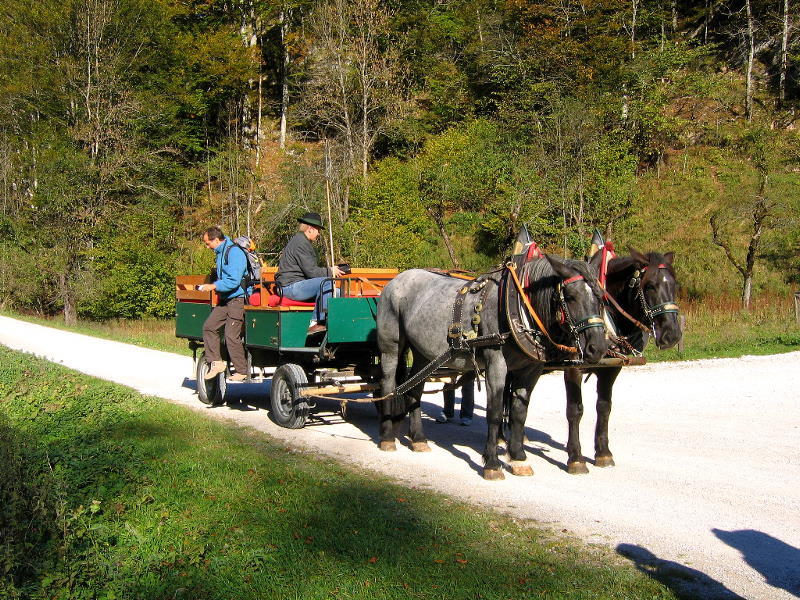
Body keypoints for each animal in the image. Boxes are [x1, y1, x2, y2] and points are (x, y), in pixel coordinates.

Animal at [376, 255, 608, 480]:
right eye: (570, 296)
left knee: (414, 389)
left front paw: (519, 458)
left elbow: (519, 413)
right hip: (391, 347)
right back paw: (387, 437)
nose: (597, 348)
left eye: (600, 297)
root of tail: (395, 280)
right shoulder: (496, 365)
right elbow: (495, 412)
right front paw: (492, 463)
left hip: (423, 354)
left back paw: (418, 439)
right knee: (388, 385)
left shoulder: (530, 370)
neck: (518, 308)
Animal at [564, 248, 680, 474]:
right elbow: (575, 410)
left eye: (674, 285)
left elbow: (604, 407)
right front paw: (576, 457)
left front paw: (603, 453)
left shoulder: (611, 370)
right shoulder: (572, 368)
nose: (672, 335)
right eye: (650, 285)